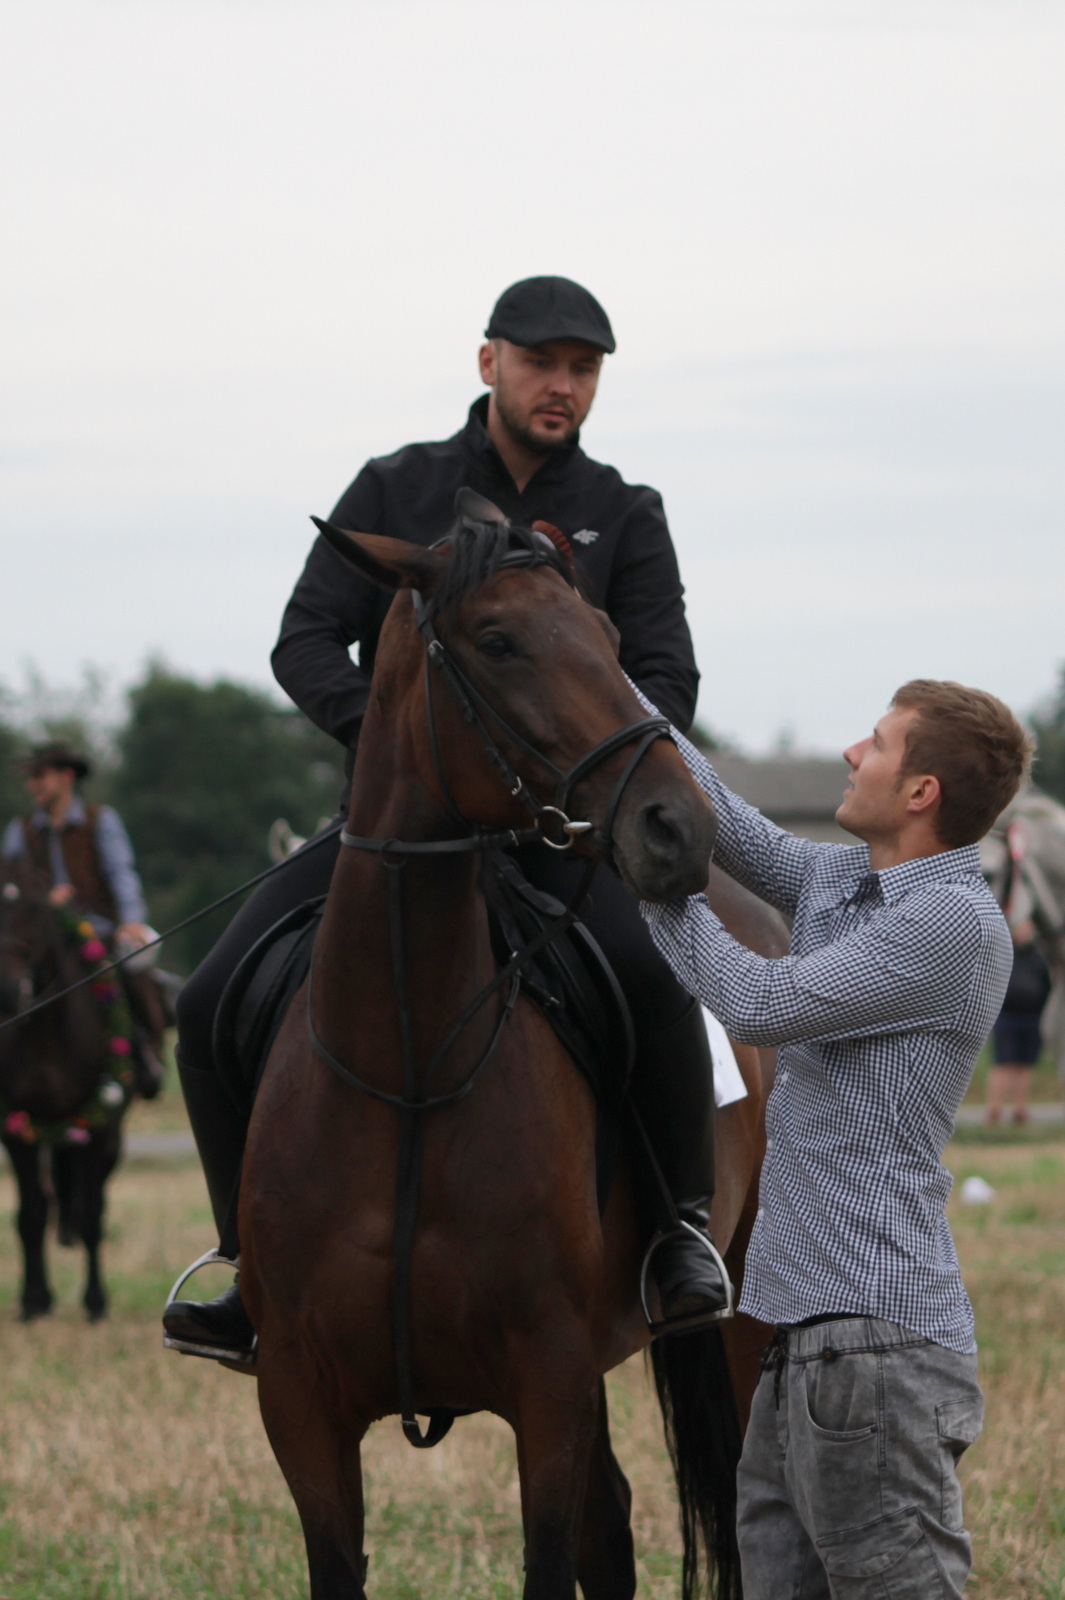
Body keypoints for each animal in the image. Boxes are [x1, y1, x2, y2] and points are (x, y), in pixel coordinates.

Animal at [0, 864, 137, 1324]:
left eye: (36, 908)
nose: (6, 991)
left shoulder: (98, 1126)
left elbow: (92, 1214)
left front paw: (96, 1301)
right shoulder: (17, 1127)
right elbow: (31, 1214)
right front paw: (32, 1299)